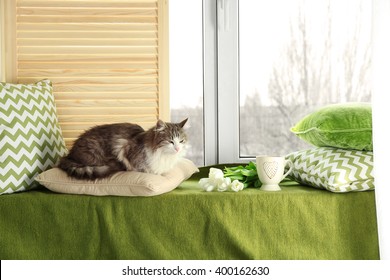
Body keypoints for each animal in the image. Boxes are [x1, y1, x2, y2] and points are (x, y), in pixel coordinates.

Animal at [57, 118, 189, 179]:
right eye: (170, 141)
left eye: (181, 141)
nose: (177, 149)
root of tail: (69, 155)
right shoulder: (123, 148)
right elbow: (147, 169)